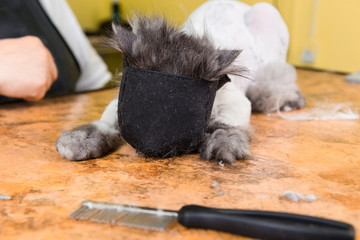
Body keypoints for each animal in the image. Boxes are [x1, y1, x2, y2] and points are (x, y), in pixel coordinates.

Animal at [56, 0, 304, 164]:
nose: (152, 148)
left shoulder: (236, 101)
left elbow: (227, 125)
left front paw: (222, 145)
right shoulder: (117, 103)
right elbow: (104, 122)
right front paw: (80, 140)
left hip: (267, 17)